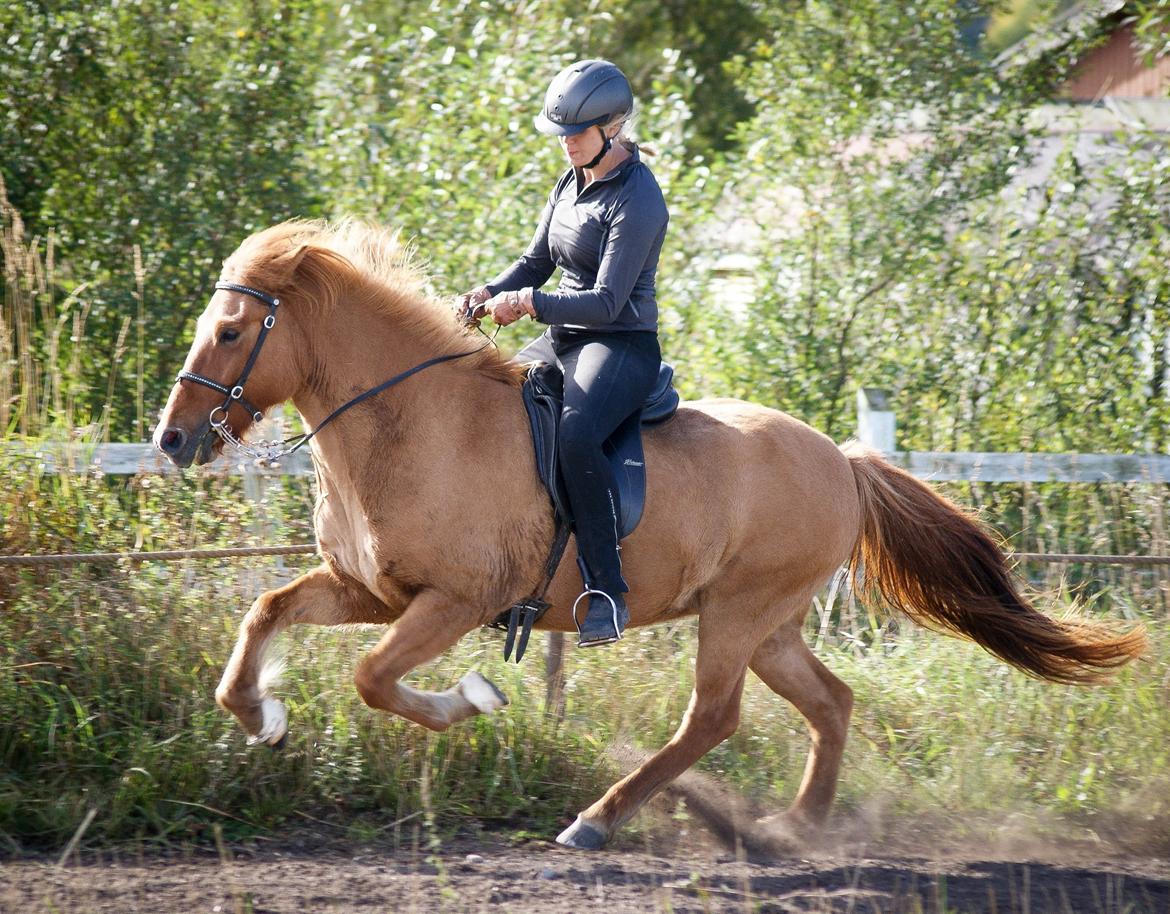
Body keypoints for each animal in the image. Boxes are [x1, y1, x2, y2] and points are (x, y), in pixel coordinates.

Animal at [150, 217, 1146, 851]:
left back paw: (601, 819)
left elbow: (373, 677)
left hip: (739, 615)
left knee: (713, 716)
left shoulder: (453, 601)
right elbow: (267, 613)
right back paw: (790, 829)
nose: (172, 440)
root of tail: (843, 458)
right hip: (771, 624)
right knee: (830, 703)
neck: (411, 422)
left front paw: (471, 701)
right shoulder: (370, 590)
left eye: (231, 330)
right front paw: (262, 718)